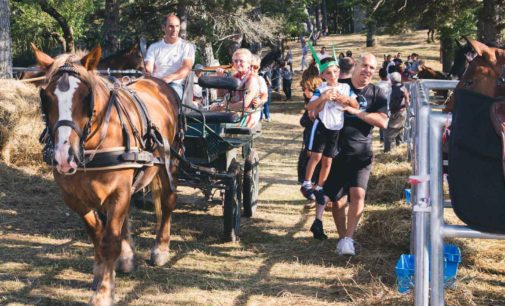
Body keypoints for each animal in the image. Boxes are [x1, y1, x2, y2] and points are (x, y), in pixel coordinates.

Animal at [32, 43, 178, 306]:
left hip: (168, 162)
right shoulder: (75, 197)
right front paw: (101, 273)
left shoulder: (118, 191)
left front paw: (104, 292)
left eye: (85, 96)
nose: (63, 156)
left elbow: (110, 240)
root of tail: (156, 82)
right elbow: (97, 234)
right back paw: (127, 257)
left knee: (168, 200)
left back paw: (161, 249)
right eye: (46, 97)